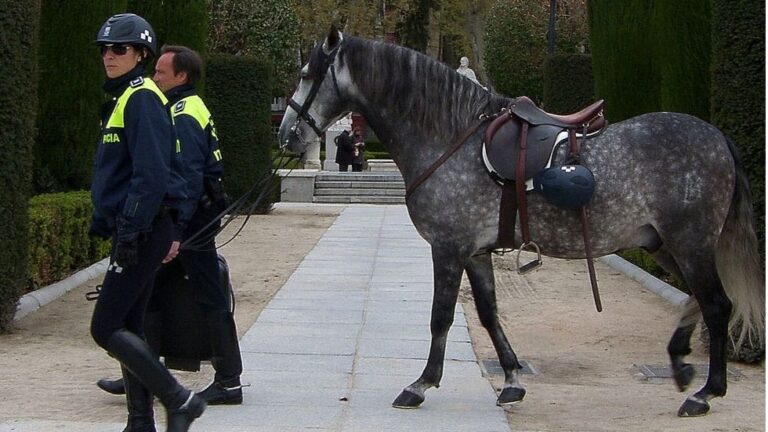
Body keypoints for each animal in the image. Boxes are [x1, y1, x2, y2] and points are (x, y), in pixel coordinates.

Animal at [276, 27, 760, 418]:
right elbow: (488, 314)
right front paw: (511, 379)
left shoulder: (448, 248)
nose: (286, 134)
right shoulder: (475, 253)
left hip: (690, 244)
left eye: (306, 73)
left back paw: (705, 392)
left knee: (716, 305)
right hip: (664, 245)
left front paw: (421, 384)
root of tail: (716, 137)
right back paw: (681, 363)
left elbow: (440, 316)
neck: (450, 138)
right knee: (698, 301)